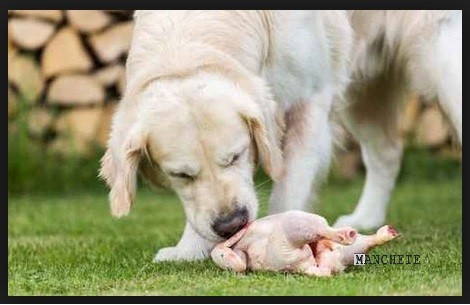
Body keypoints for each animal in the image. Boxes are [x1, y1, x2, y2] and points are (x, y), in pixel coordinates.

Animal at [100, 10, 462, 260]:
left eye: (237, 155)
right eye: (180, 175)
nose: (231, 224)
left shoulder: (309, 101)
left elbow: (289, 187)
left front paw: (276, 238)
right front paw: (188, 250)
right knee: (386, 153)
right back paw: (366, 216)